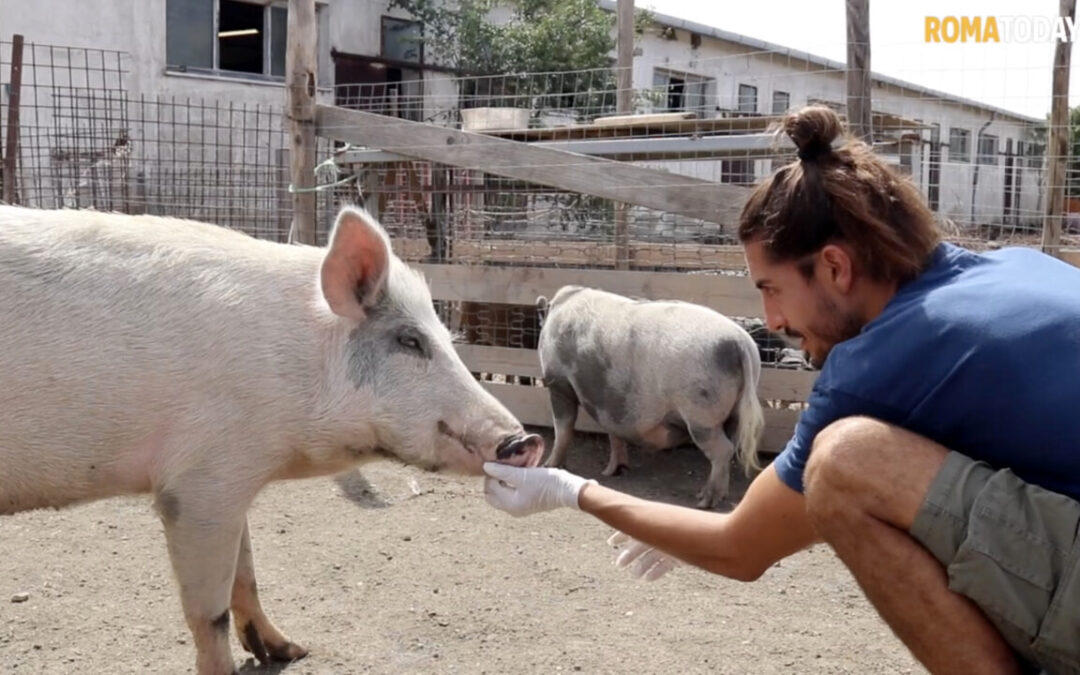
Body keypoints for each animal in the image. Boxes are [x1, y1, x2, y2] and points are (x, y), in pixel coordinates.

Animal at [0, 205, 544, 673]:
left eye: (446, 339)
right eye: (410, 341)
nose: (524, 442)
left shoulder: (231, 483)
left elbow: (247, 575)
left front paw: (293, 651)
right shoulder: (199, 485)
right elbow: (209, 611)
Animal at [535, 280, 764, 507]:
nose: (609, 472)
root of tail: (740, 343)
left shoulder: (558, 382)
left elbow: (563, 427)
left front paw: (549, 465)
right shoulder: (609, 402)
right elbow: (613, 433)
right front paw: (612, 471)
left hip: (701, 413)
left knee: (722, 450)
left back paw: (704, 500)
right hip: (734, 412)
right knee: (731, 445)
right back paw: (715, 496)